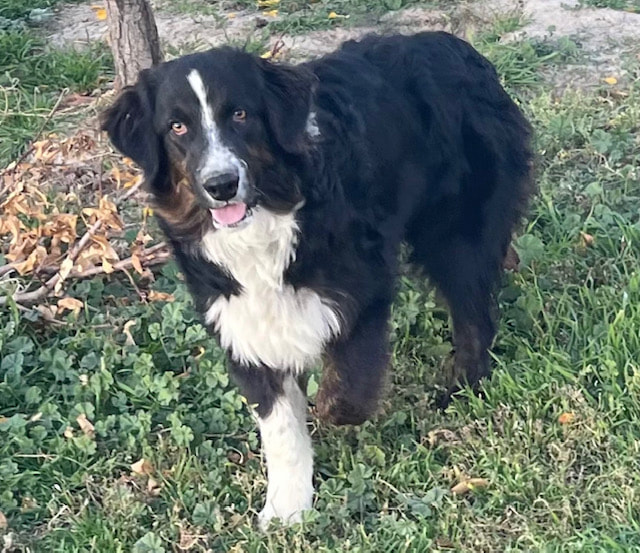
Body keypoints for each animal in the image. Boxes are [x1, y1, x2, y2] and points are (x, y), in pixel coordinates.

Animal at [102, 31, 532, 528]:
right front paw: (287, 505)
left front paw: (328, 407)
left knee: (474, 314)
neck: (270, 218)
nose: (221, 185)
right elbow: (281, 426)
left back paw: (462, 386)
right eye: (177, 127)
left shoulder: (361, 287)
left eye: (240, 114)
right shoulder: (238, 318)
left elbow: (345, 389)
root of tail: (458, 46)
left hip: (458, 232)